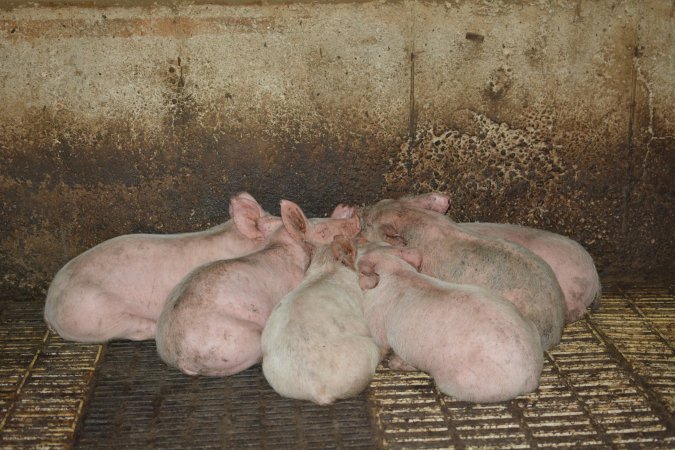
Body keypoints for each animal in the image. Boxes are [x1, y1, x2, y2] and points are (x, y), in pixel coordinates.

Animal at [360, 243, 544, 404]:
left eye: (360, 257)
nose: (360, 245)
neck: (395, 270)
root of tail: (532, 377)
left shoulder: (377, 324)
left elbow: (382, 345)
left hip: (463, 382)